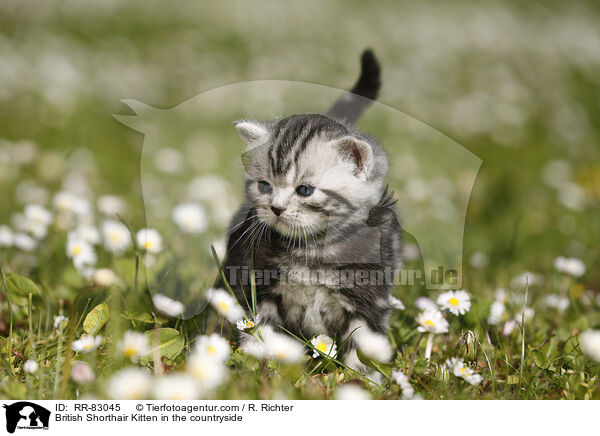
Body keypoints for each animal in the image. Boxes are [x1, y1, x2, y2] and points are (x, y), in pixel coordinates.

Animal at [218, 50, 400, 368]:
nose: (275, 208)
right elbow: (261, 329)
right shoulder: (256, 282)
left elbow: (361, 343)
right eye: (264, 186)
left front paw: (360, 374)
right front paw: (263, 365)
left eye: (304, 190)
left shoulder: (369, 295)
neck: (313, 250)